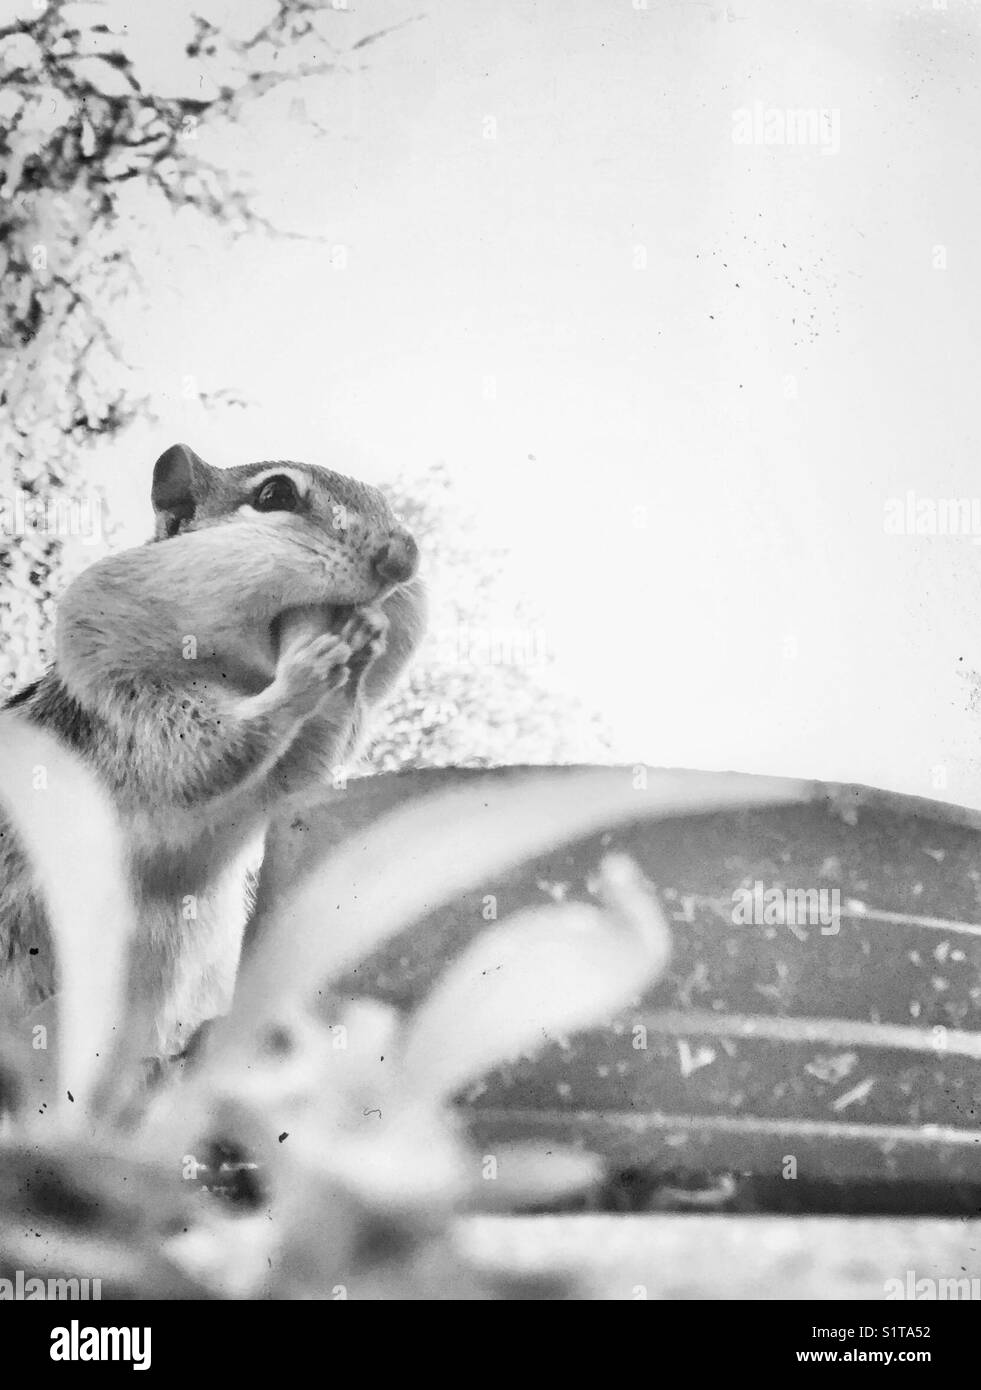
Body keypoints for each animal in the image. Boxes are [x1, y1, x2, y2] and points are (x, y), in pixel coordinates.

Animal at [0, 444, 425, 1055]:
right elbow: (202, 754)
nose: (403, 558)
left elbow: (302, 766)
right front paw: (302, 674)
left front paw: (360, 651)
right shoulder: (123, 692)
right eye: (275, 494)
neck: (234, 672)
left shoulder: (280, 778)